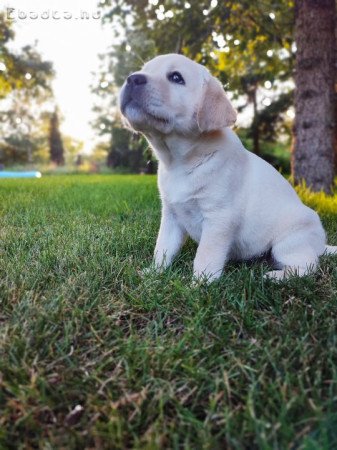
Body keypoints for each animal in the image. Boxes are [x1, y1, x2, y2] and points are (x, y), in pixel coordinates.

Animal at [119, 53, 334, 282]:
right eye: (144, 70)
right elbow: (163, 247)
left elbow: (205, 256)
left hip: (288, 242)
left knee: (309, 265)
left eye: (176, 77)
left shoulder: (219, 217)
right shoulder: (171, 215)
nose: (132, 79)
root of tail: (321, 245)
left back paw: (275, 276)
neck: (180, 161)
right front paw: (154, 273)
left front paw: (199, 284)